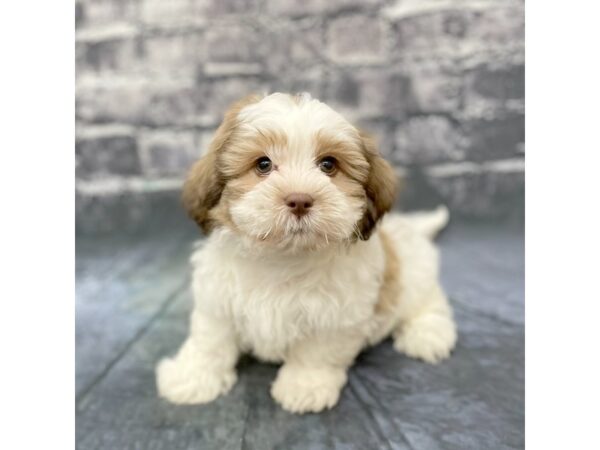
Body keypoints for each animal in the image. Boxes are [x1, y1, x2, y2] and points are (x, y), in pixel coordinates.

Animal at [157, 92, 458, 414]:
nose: (299, 200)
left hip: (414, 275)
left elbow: (317, 352)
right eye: (263, 164)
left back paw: (428, 334)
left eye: (328, 164)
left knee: (429, 300)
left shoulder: (335, 316)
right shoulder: (216, 302)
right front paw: (192, 378)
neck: (282, 257)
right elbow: (210, 341)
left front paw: (304, 386)